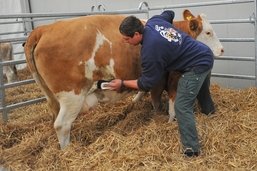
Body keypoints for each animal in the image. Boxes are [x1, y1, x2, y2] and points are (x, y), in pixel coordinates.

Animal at [24, 9, 223, 148]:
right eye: (208, 32)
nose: (222, 49)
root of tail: (44, 29)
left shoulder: (154, 78)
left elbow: (148, 92)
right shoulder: (172, 76)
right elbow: (170, 102)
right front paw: (168, 120)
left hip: (53, 97)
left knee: (55, 117)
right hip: (72, 95)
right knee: (62, 124)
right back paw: (68, 150)